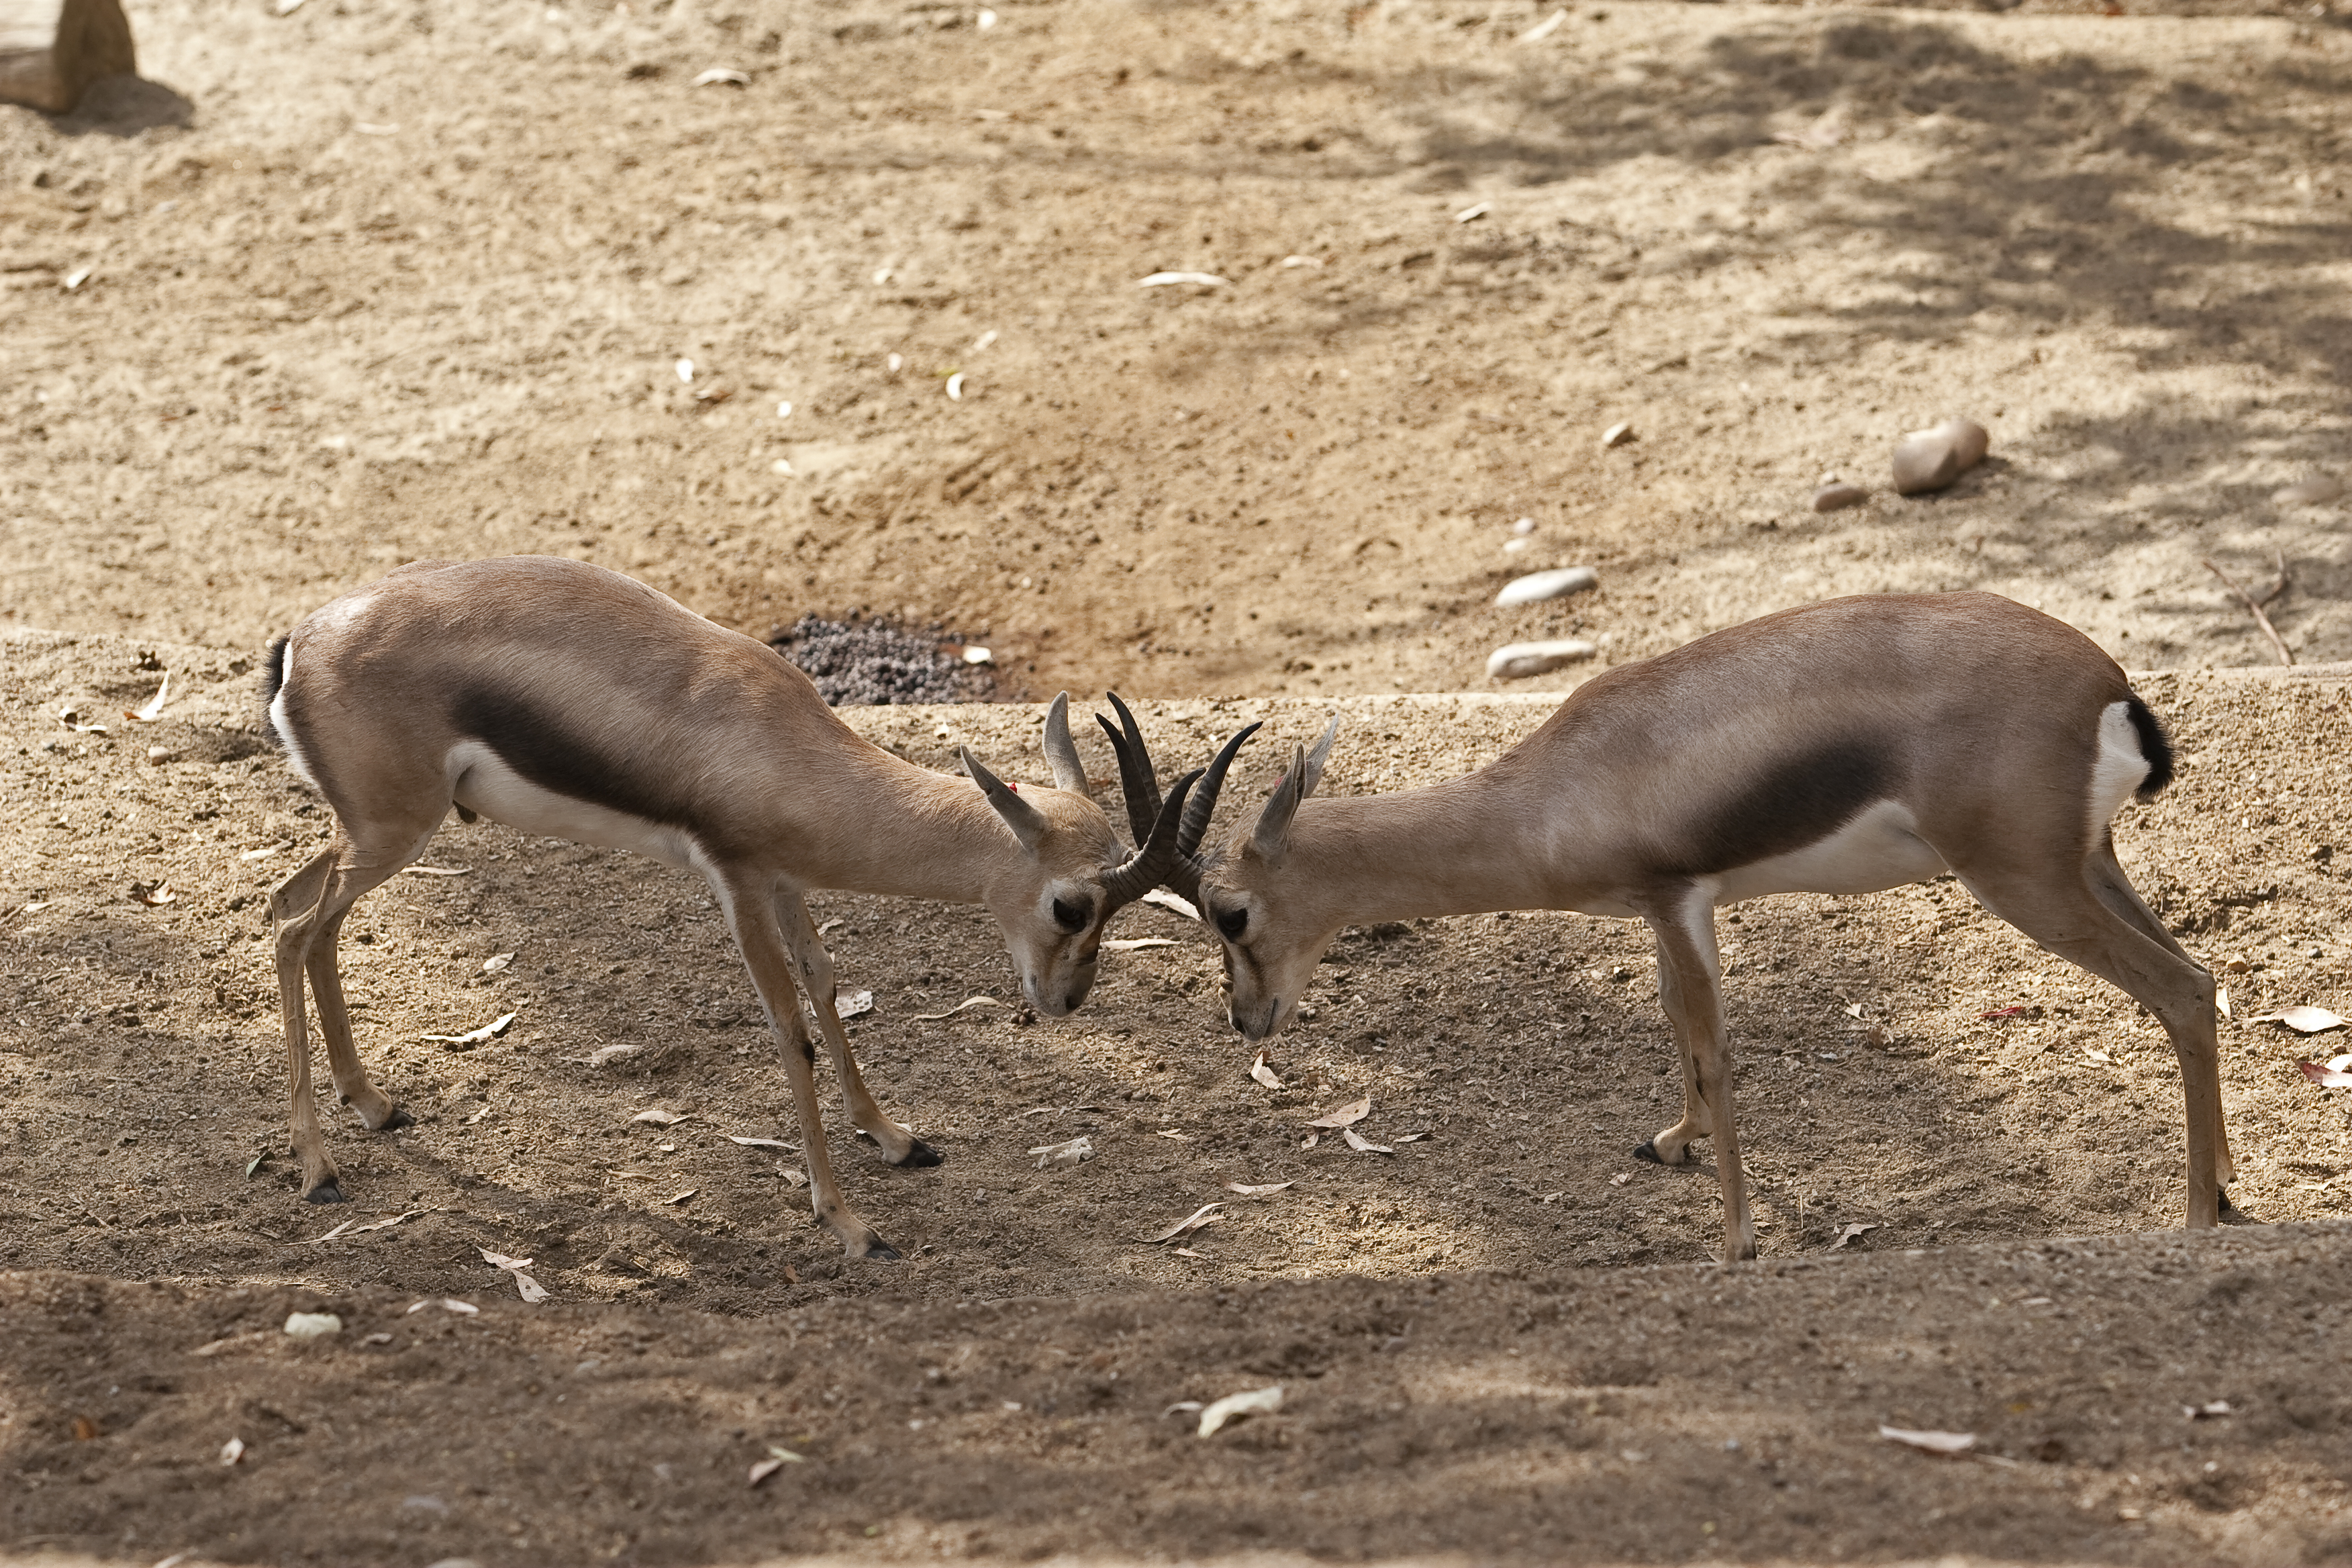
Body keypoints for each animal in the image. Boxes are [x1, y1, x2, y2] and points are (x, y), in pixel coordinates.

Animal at [261, 555, 1197, 1259]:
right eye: (1071, 906)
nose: (1064, 999)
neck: (784, 740)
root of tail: (299, 644)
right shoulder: (738, 882)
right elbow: (789, 1027)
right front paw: (851, 1225)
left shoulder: (785, 882)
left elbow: (825, 981)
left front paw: (896, 1137)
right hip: (393, 832)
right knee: (293, 927)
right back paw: (318, 1168)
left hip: (374, 835)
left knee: (299, 908)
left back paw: (375, 1104)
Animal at [1143, 592, 2236, 1261]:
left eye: (1230, 911)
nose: (1247, 1018)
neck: (1553, 789)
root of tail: (2109, 685)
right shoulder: (1661, 914)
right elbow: (1673, 1020)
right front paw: (1672, 1143)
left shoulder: (1677, 898)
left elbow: (1710, 1047)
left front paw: (1737, 1241)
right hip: (2089, 866)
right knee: (2203, 976)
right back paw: (2225, 1185)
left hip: (2024, 883)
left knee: (2180, 990)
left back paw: (2194, 1219)